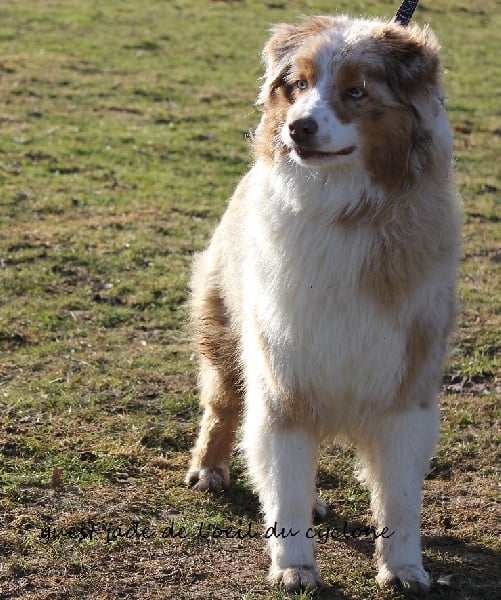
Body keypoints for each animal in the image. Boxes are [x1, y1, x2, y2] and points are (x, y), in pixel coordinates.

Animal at [185, 12, 460, 592]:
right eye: (299, 85)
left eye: (356, 92)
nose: (298, 128)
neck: (344, 209)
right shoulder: (282, 375)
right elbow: (284, 480)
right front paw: (294, 566)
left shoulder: (406, 387)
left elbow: (400, 497)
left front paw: (405, 568)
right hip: (224, 333)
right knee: (221, 407)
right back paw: (209, 469)